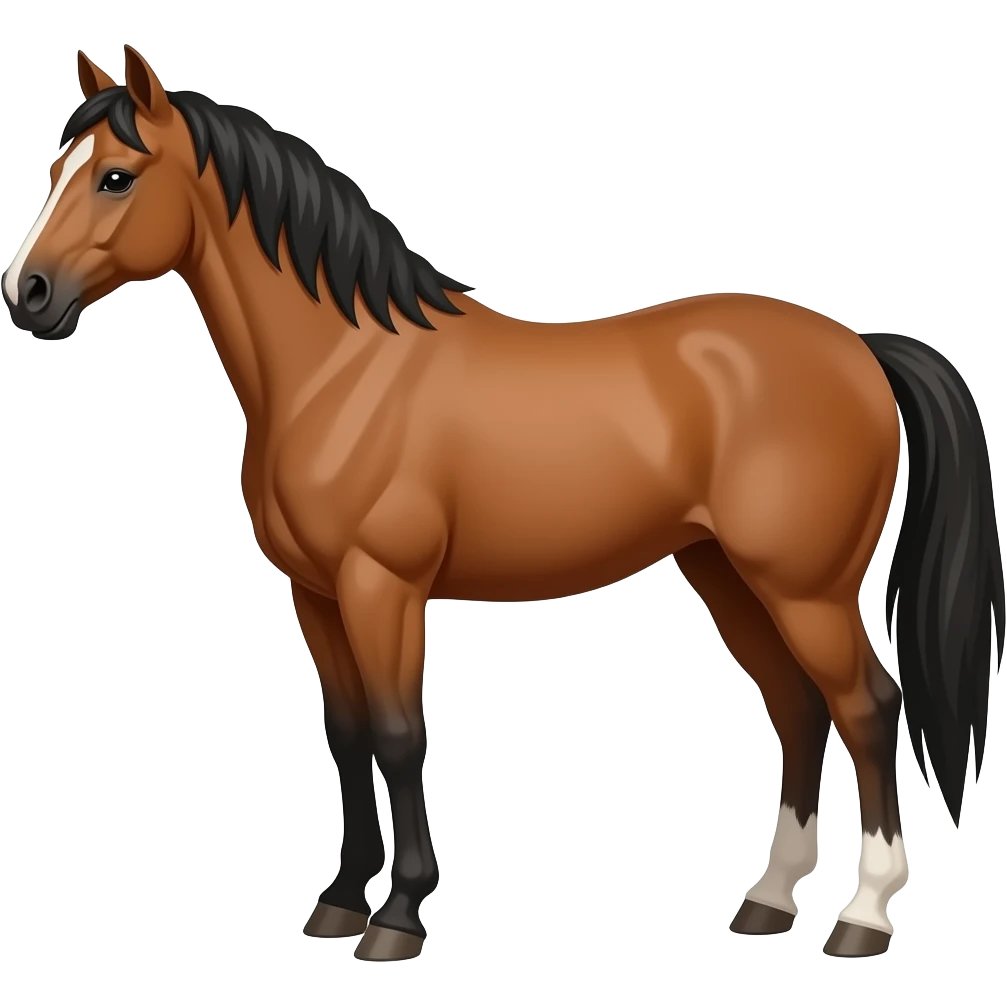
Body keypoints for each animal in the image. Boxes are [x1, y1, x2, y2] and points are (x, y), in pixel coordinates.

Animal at [3, 45, 1003, 963]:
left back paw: (863, 916)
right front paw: (338, 901)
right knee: (797, 708)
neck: (343, 369)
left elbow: (399, 734)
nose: (28, 294)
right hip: (725, 573)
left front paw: (399, 916)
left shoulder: (383, 586)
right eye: (57, 171)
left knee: (867, 707)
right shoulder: (315, 593)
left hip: (805, 587)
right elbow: (347, 735)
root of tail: (859, 346)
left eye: (117, 176)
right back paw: (766, 900)